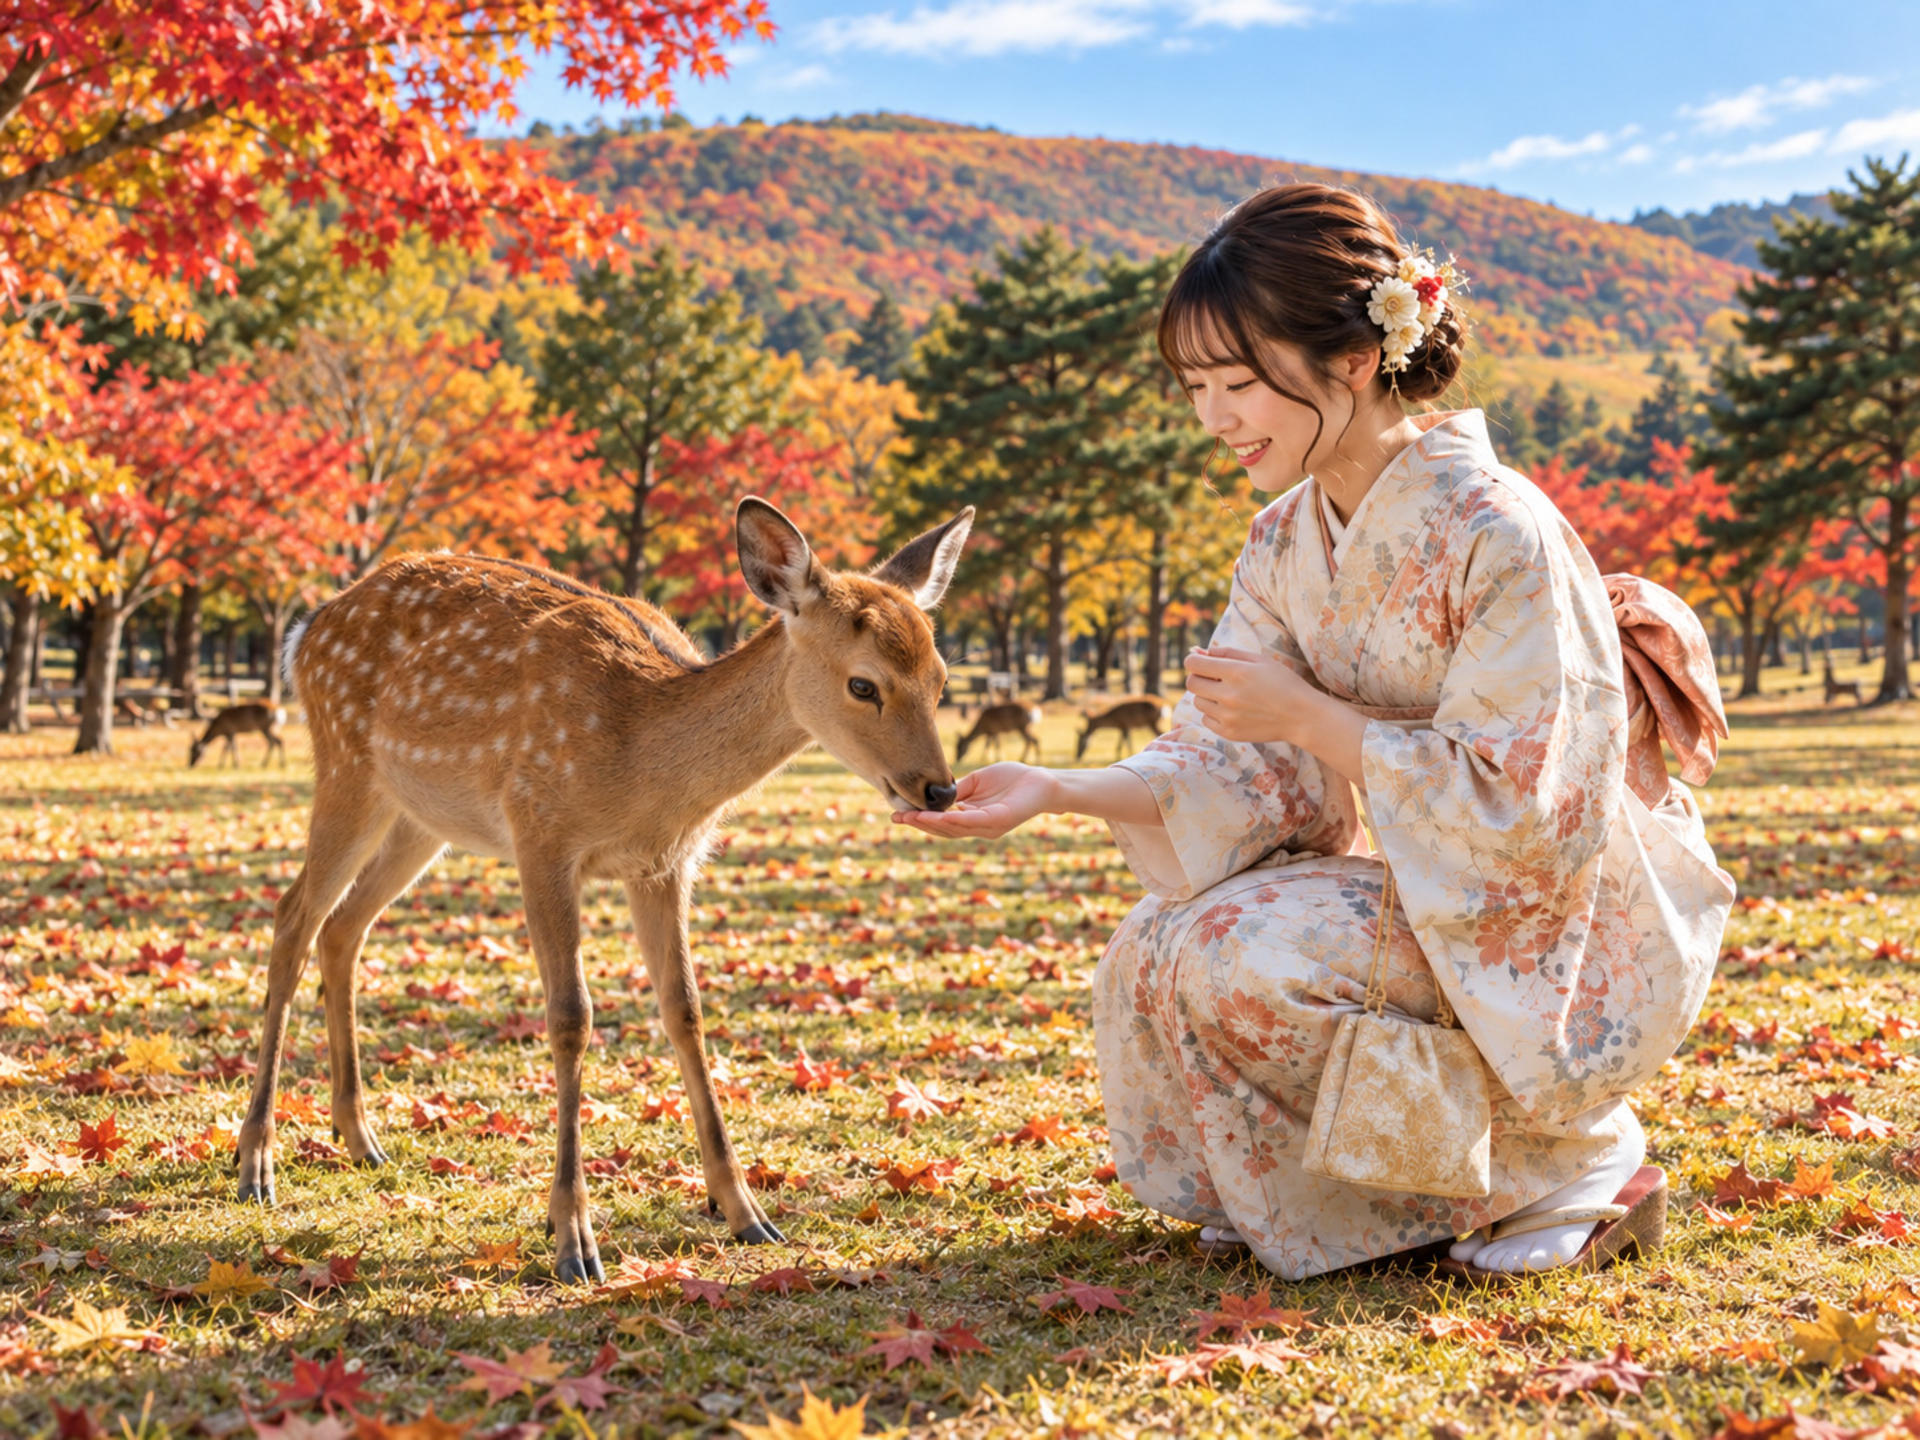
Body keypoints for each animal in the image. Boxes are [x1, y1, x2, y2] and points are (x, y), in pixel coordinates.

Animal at [235, 498, 973, 1283]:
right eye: (863, 684)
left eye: (940, 679)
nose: (940, 789)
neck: (644, 764)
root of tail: (305, 631)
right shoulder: (540, 832)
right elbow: (571, 1017)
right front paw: (573, 1238)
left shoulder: (665, 865)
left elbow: (685, 1009)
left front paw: (745, 1211)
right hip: (346, 763)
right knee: (293, 916)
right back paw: (256, 1163)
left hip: (421, 817)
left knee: (344, 926)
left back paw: (361, 1138)